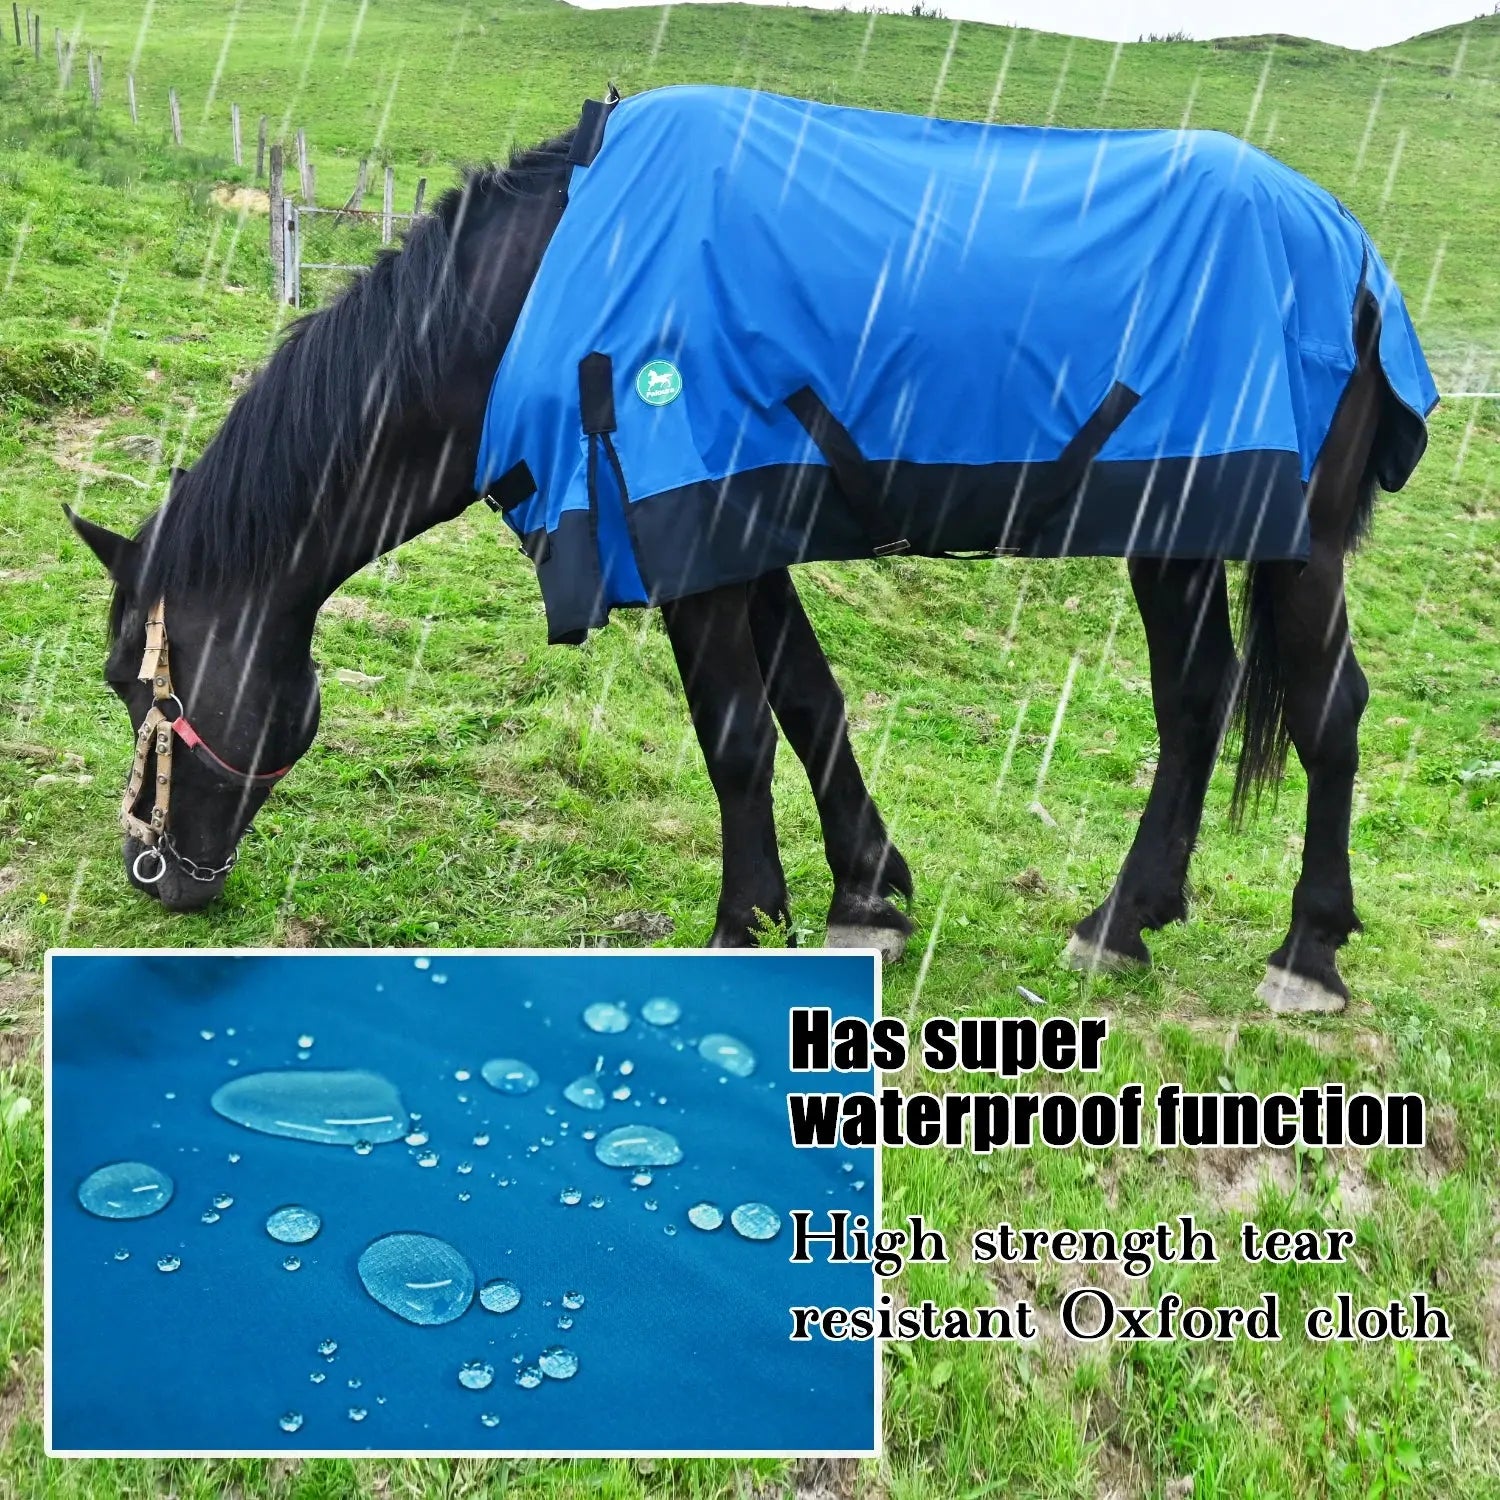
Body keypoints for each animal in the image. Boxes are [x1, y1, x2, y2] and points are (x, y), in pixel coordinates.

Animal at [69, 85, 1436, 1015]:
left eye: (143, 685)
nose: (158, 876)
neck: (552, 290)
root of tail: (1358, 259)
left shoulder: (692, 536)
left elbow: (735, 735)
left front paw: (747, 923)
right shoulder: (738, 533)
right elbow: (810, 704)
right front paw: (866, 895)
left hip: (1289, 546)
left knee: (1327, 711)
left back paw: (1307, 953)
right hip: (1181, 534)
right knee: (1198, 700)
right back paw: (1125, 920)